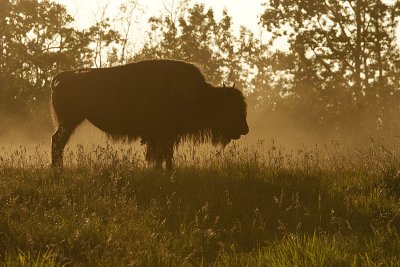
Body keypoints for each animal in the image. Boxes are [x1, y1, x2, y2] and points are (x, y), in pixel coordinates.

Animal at [51, 59, 248, 171]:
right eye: (232, 107)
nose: (245, 129)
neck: (198, 94)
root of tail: (62, 77)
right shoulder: (164, 134)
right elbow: (164, 154)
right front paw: (167, 171)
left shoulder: (165, 135)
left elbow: (163, 154)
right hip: (70, 121)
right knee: (57, 141)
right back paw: (58, 169)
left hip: (69, 121)